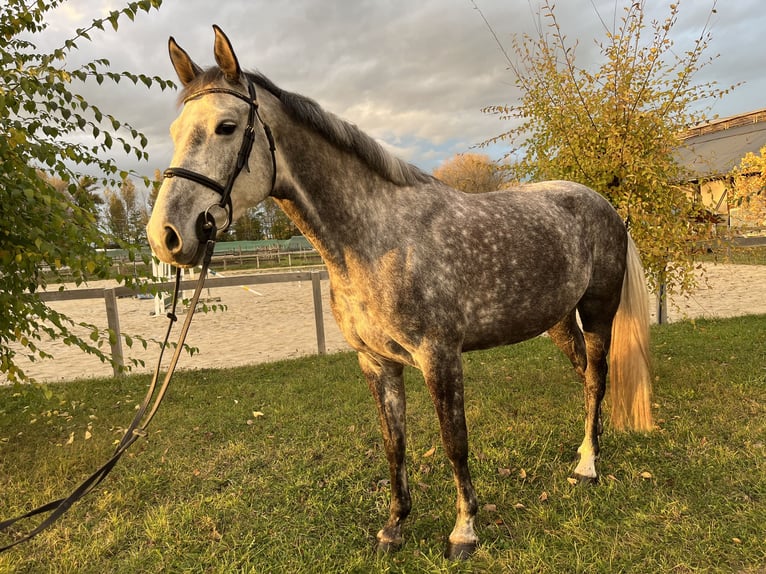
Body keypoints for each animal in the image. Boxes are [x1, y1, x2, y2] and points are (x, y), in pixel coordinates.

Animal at [146, 26, 653, 559]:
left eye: (225, 127)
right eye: (175, 132)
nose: (167, 236)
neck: (378, 238)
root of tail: (606, 207)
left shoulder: (440, 357)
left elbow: (454, 441)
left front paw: (464, 531)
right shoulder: (376, 361)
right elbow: (395, 443)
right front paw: (394, 526)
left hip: (597, 313)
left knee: (597, 380)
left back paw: (589, 466)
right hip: (557, 321)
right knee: (585, 378)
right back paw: (585, 449)